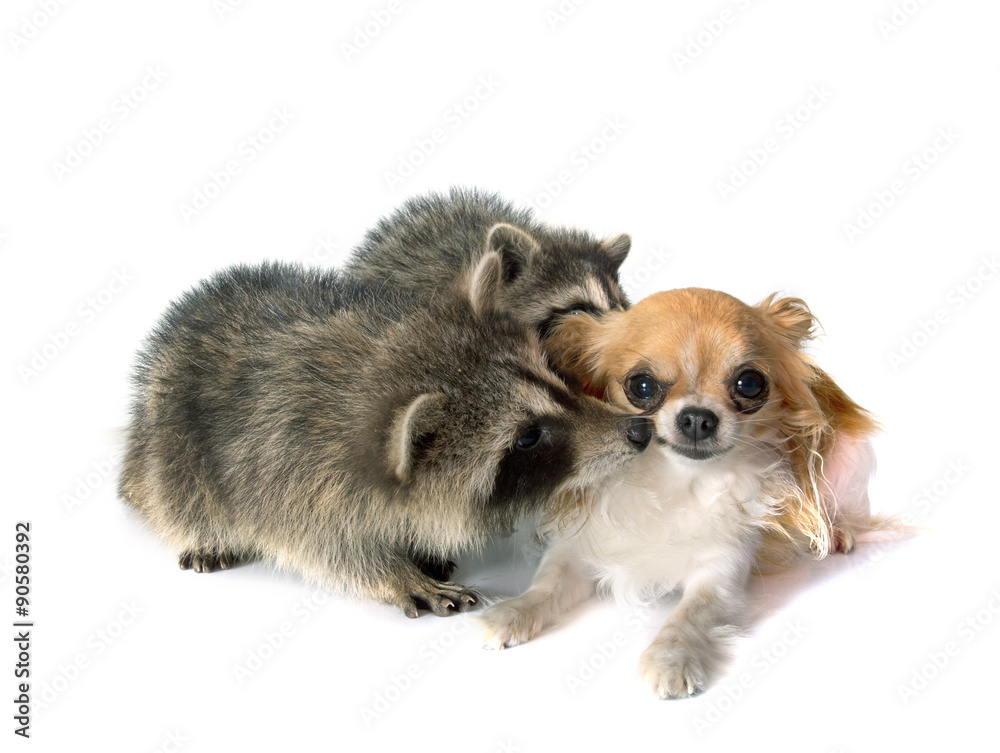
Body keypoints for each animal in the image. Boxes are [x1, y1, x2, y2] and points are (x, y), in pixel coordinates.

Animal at [119, 259, 651, 617]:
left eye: (555, 377)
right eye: (528, 437)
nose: (639, 429)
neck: (384, 370)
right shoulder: (292, 474)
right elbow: (326, 547)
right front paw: (393, 573)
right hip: (172, 442)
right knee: (178, 493)